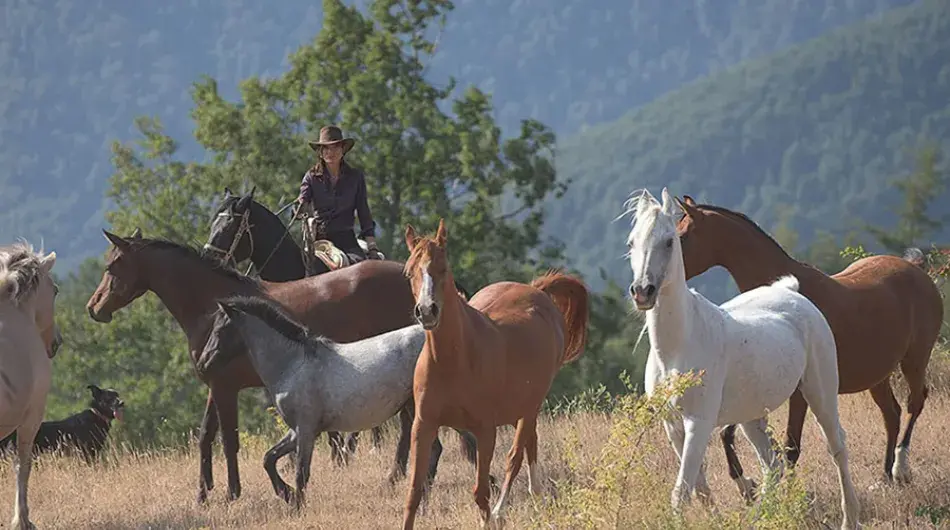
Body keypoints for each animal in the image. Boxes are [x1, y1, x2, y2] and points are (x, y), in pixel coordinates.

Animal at [203, 295, 467, 507]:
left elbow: (301, 473)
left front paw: (297, 506)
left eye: (219, 330)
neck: (293, 364)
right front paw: (287, 495)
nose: (205, 363)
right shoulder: (299, 431)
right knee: (435, 449)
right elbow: (269, 459)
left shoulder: (306, 431)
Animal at [400, 219, 590, 529]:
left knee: (516, 455)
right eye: (409, 271)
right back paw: (537, 497)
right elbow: (414, 493)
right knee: (531, 444)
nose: (427, 311)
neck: (454, 361)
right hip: (518, 410)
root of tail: (537, 290)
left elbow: (481, 492)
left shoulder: (485, 430)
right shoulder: (423, 426)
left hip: (529, 408)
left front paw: (492, 517)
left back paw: (509, 508)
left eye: (444, 268)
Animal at [625, 188, 860, 529]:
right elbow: (698, 486)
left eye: (670, 241)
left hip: (820, 393)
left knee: (836, 446)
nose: (643, 291)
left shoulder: (698, 423)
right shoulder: (674, 426)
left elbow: (682, 491)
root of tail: (793, 292)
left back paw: (849, 517)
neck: (678, 346)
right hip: (752, 417)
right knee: (772, 464)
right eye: (631, 242)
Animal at [675, 195, 943, 494]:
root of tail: (918, 271)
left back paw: (900, 469)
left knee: (914, 403)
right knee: (891, 414)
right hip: (878, 375)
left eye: (682, 236)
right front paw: (748, 486)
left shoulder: (799, 393)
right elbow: (728, 433)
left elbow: (791, 445)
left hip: (914, 360)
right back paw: (884, 477)